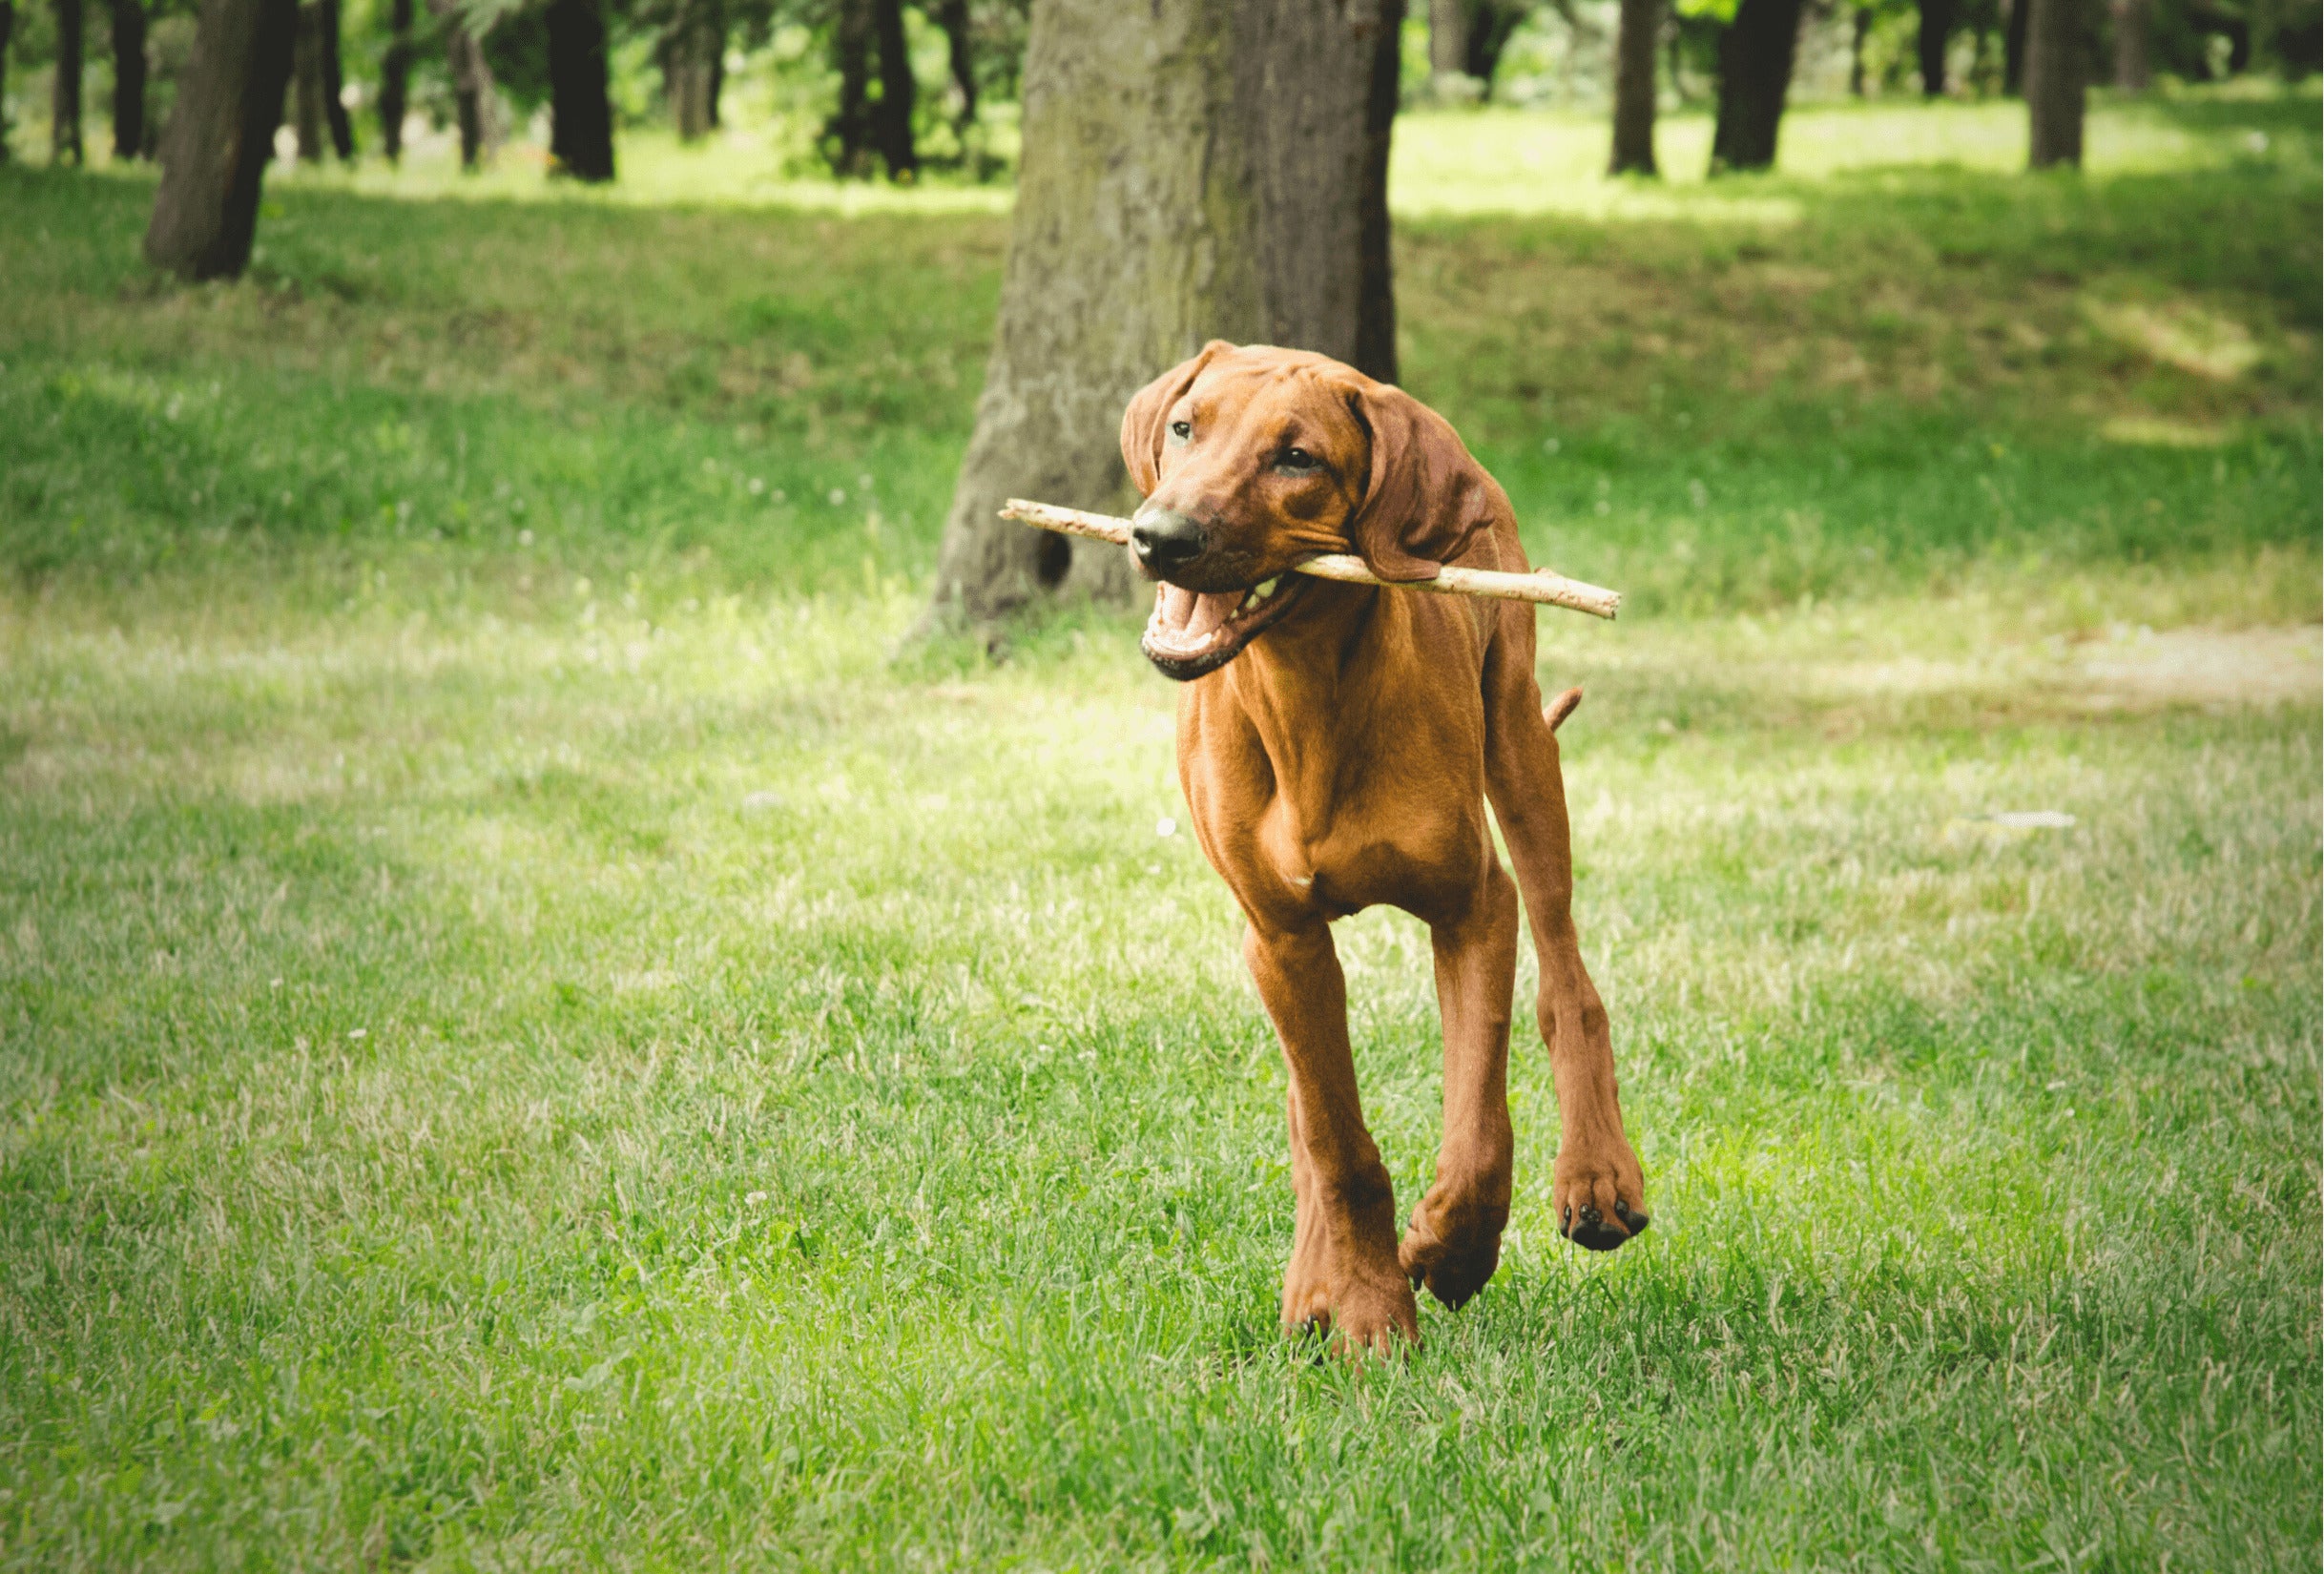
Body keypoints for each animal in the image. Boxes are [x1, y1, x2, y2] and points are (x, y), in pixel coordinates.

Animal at [1120, 342, 1635, 1348]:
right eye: (1185, 428)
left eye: (1297, 459)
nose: (1160, 536)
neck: (1306, 699)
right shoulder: (1281, 938)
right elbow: (1331, 1136)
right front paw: (1362, 1302)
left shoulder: (1475, 907)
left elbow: (1479, 1122)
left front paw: (1450, 1248)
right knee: (1304, 1107)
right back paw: (1312, 1281)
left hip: (1521, 741)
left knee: (1567, 981)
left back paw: (1598, 1173)